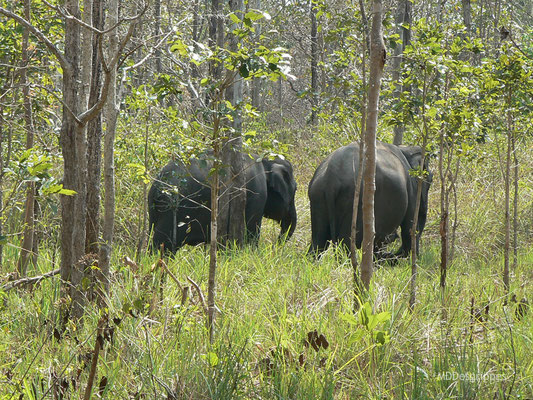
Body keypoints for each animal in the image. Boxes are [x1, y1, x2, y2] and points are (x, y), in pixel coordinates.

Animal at [148, 154, 298, 252]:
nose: (274, 247)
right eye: (295, 189)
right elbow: (251, 234)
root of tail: (157, 187)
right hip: (173, 210)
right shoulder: (257, 196)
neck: (266, 161)